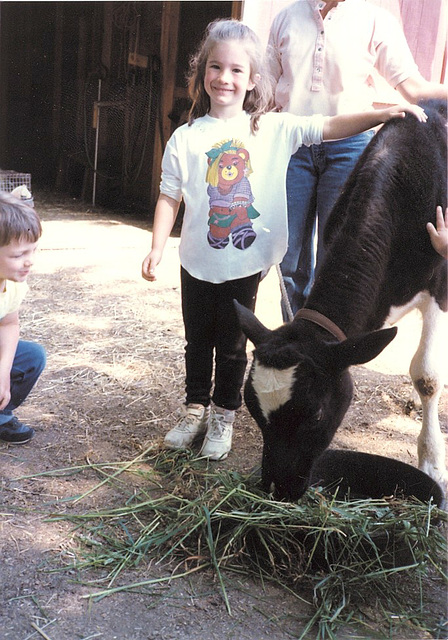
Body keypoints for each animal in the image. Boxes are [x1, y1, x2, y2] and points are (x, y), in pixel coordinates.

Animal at [236, 99, 446, 500]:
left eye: (315, 415)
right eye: (253, 409)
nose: (278, 488)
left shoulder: (440, 288)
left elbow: (427, 376)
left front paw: (432, 463)